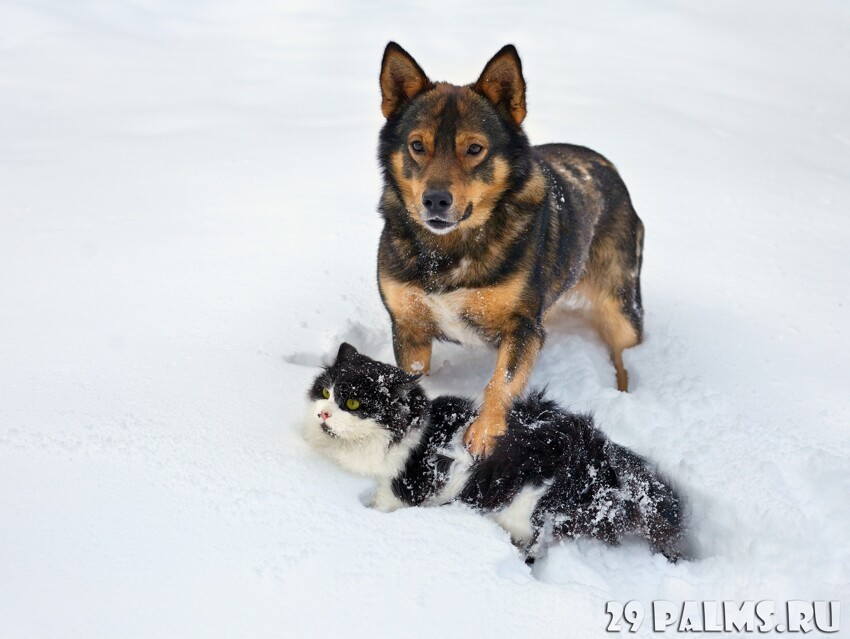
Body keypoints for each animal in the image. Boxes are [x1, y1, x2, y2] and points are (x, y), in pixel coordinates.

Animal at [306, 342, 688, 564]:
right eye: (324, 392)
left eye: (353, 404)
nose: (323, 414)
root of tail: (597, 455)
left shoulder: (397, 492)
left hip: (524, 506)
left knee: (533, 546)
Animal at [376, 43, 644, 456]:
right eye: (417, 146)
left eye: (474, 149)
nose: (434, 200)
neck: (451, 250)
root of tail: (606, 163)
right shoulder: (409, 326)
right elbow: (412, 377)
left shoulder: (523, 327)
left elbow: (500, 380)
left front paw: (485, 434)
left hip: (621, 307)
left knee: (625, 356)